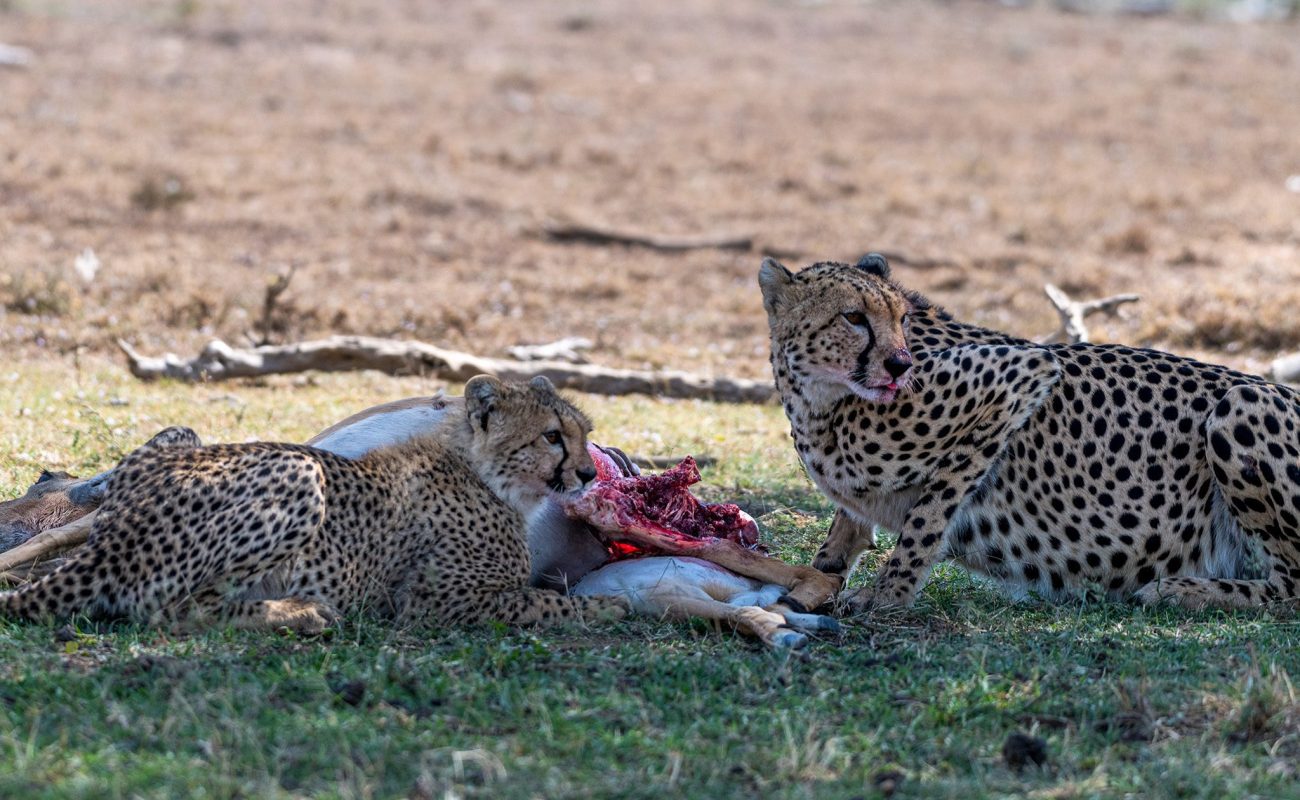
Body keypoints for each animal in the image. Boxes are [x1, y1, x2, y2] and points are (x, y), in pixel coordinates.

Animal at [0, 375, 629, 632]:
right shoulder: (436, 603)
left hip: (183, 438)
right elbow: (547, 603)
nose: (588, 471)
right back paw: (297, 613)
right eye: (552, 436)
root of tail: (110, 543)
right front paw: (608, 607)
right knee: (170, 610)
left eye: (582, 433)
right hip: (301, 470)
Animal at [759, 253, 1300, 613]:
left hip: (1240, 403)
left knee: (1291, 585)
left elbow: (926, 518)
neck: (822, 398)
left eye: (901, 318)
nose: (899, 365)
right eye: (853, 317)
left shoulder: (1021, 373)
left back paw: (1181, 589)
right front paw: (820, 574)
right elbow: (846, 523)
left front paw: (887, 594)